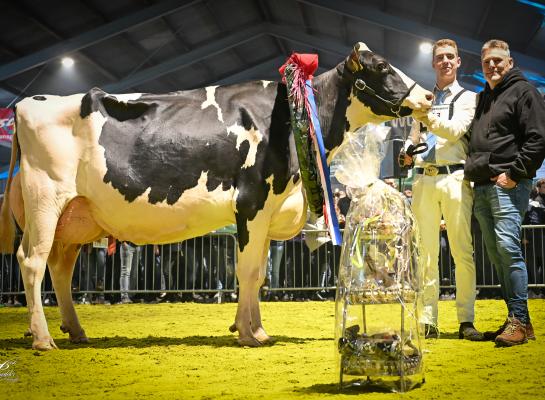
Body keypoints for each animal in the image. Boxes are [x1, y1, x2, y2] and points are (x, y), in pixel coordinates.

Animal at [1, 42, 434, 348]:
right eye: (382, 67)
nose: (429, 96)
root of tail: (27, 103)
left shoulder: (268, 210)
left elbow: (259, 274)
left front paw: (256, 328)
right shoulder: (252, 202)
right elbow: (247, 271)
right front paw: (248, 333)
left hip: (75, 217)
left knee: (60, 267)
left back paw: (75, 331)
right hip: (45, 200)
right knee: (32, 262)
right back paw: (43, 339)